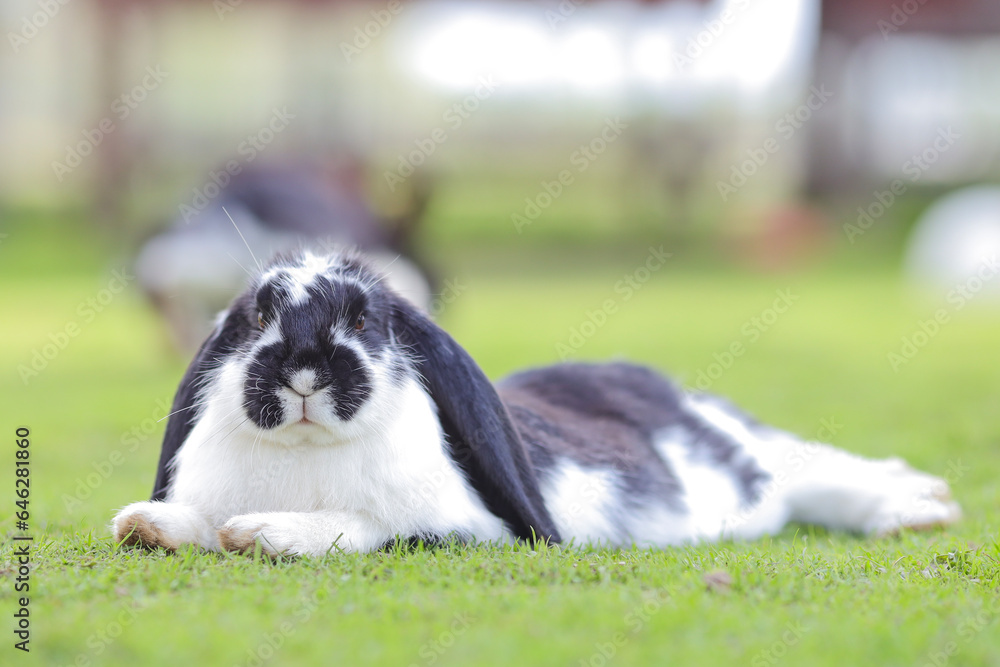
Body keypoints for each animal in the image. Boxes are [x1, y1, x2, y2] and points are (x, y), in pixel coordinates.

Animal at [113, 248, 964, 556]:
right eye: (258, 315)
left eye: (367, 319)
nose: (302, 371)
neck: (302, 457)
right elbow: (190, 522)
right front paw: (149, 525)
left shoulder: (461, 527)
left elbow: (366, 525)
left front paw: (266, 532)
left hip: (755, 459)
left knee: (819, 470)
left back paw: (919, 506)